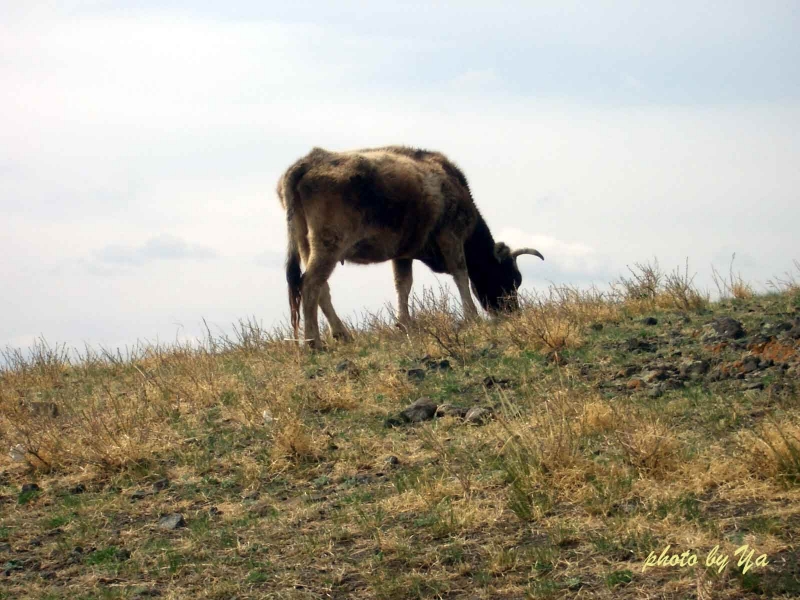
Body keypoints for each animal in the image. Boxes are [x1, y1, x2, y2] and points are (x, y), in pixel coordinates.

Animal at [276, 145, 544, 350]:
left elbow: (403, 285)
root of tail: (309, 161)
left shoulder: (402, 254)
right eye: (512, 278)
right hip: (329, 244)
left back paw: (341, 334)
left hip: (307, 244)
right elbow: (461, 274)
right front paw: (471, 316)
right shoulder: (450, 235)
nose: (511, 311)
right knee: (310, 284)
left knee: (321, 288)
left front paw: (404, 325)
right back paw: (313, 342)